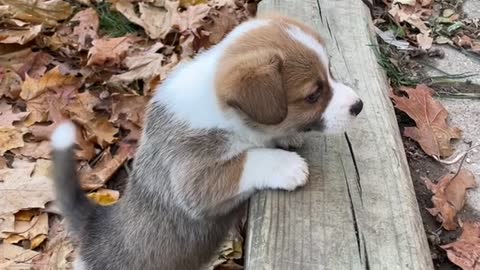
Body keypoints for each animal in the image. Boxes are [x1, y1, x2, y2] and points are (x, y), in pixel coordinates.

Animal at [50, 14, 362, 270]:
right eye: (313, 95)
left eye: (330, 73)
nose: (358, 105)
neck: (221, 108)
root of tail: (93, 225)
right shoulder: (194, 180)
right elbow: (247, 160)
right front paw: (287, 166)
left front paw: (287, 135)